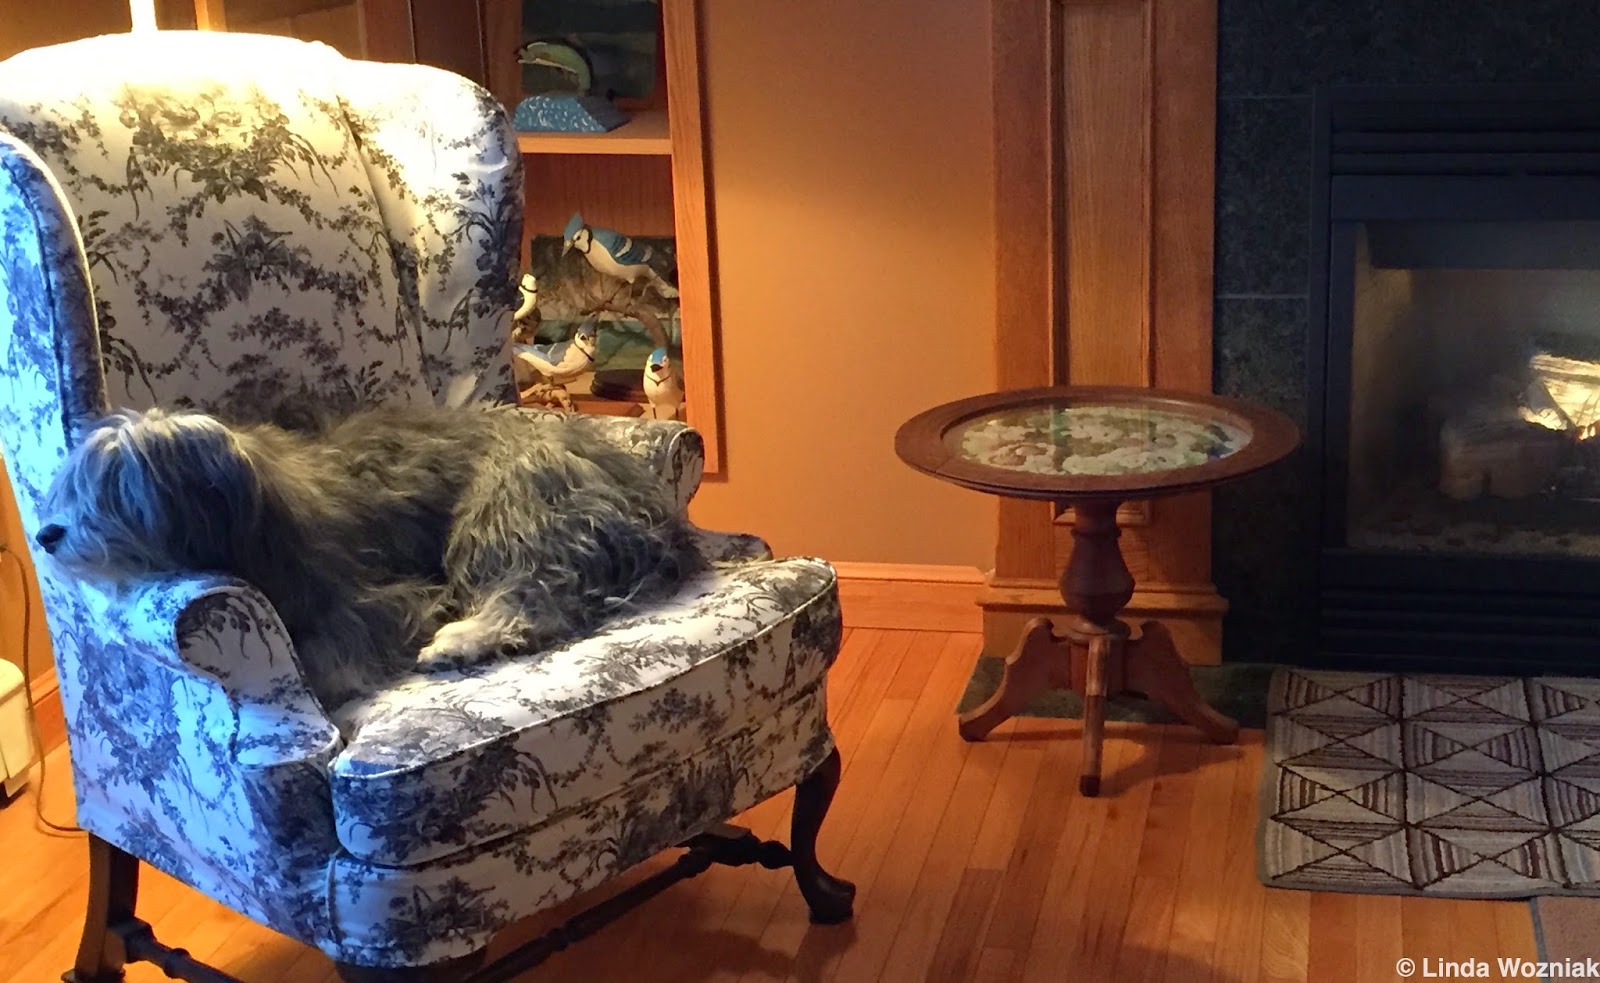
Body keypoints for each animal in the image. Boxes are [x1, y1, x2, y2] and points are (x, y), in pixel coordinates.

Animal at [36, 403, 704, 709]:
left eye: (112, 492)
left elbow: (340, 645)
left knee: (534, 593)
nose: (45, 535)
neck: (252, 517)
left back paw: (460, 641)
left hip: (505, 507)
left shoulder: (381, 595)